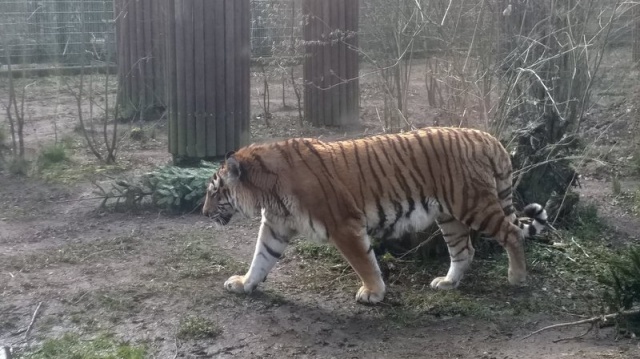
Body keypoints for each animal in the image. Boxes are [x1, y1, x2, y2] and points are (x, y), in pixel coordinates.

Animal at [202, 128, 548, 306]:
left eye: (214, 191)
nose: (204, 213)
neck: (267, 192)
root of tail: (488, 138)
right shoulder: (275, 226)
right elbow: (261, 258)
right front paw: (244, 284)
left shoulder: (344, 225)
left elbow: (364, 262)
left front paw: (373, 293)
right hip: (449, 216)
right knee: (465, 251)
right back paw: (447, 283)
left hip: (474, 205)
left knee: (511, 233)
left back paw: (517, 278)